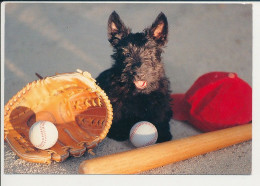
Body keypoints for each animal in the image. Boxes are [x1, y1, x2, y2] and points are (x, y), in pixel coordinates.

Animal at [95, 11, 173, 142]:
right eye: (126, 54)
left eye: (149, 52)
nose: (139, 73)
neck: (138, 92)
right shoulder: (116, 100)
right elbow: (116, 113)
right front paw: (118, 131)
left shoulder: (160, 99)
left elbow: (160, 114)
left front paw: (163, 133)